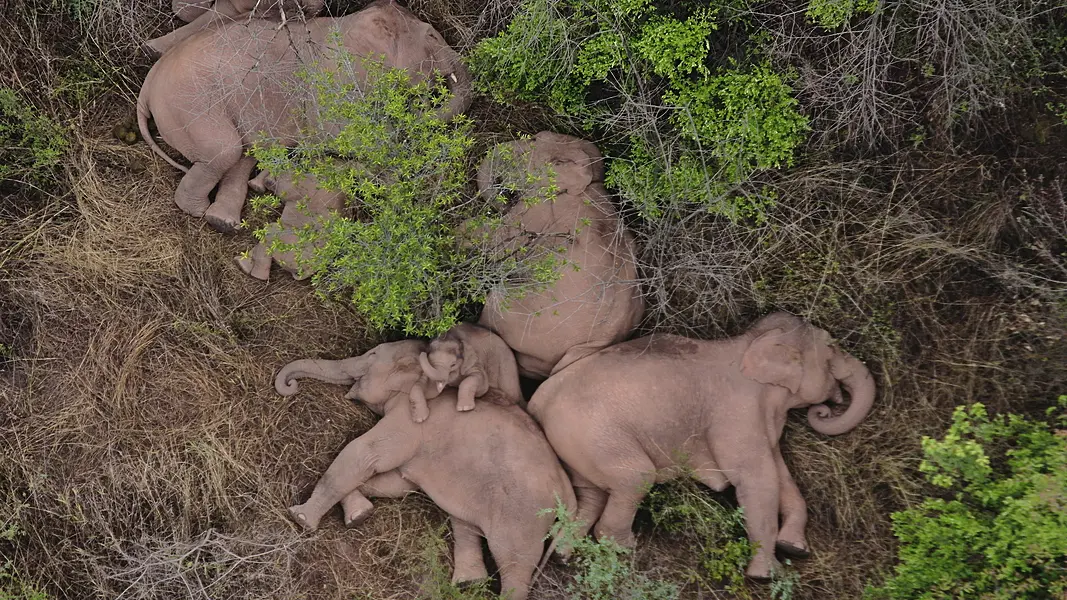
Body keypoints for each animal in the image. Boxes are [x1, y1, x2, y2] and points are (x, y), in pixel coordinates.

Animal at [275, 339, 576, 593]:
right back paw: (468, 583)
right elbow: (395, 484)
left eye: (372, 355)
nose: (291, 385)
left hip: (523, 516)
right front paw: (359, 515)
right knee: (465, 522)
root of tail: (568, 491)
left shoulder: (410, 421)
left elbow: (366, 454)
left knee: (514, 564)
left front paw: (301, 518)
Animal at [524, 309, 874, 580]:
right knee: (636, 477)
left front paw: (795, 548)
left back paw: (565, 555)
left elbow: (781, 474)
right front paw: (767, 575)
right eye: (832, 350)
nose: (824, 410)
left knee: (593, 493)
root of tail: (538, 401)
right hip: (592, 433)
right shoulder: (736, 413)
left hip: (577, 444)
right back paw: (625, 547)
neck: (750, 342)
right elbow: (756, 478)